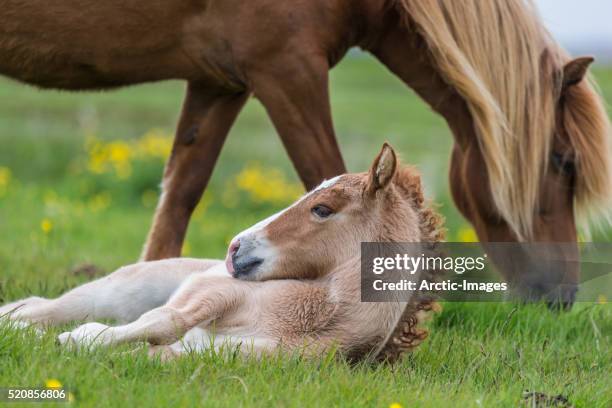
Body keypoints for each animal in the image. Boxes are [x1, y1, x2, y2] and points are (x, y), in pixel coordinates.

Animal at [0, 0, 608, 306]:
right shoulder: (287, 69)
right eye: (563, 161)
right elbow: (331, 174)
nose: (562, 296)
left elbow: (181, 191)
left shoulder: (220, 82)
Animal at [0, 145, 442, 362]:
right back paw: (25, 327)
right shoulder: (213, 292)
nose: (235, 248)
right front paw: (76, 339)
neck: (316, 319)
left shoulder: (226, 358)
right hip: (119, 292)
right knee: (45, 307)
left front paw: (78, 343)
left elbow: (153, 353)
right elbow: (167, 320)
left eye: (322, 209)